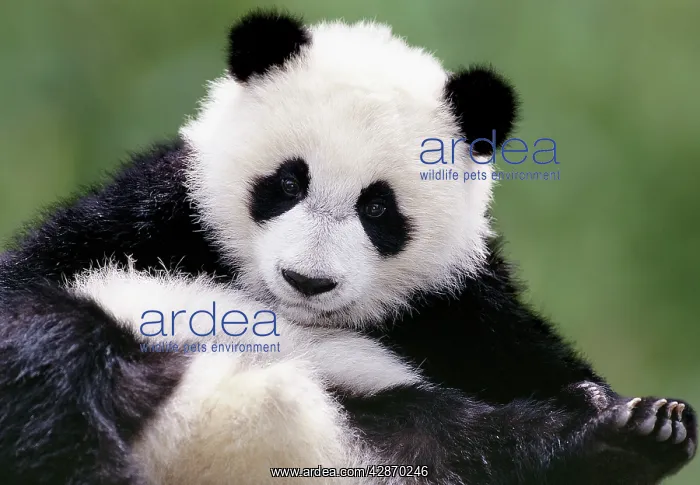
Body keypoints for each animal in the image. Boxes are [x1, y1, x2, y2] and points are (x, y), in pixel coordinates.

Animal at [0, 8, 696, 485]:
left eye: (377, 209)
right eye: (287, 183)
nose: (307, 282)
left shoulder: (457, 304)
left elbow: (522, 359)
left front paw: (613, 409)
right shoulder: (152, 210)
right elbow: (29, 292)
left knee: (471, 442)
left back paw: (631, 436)